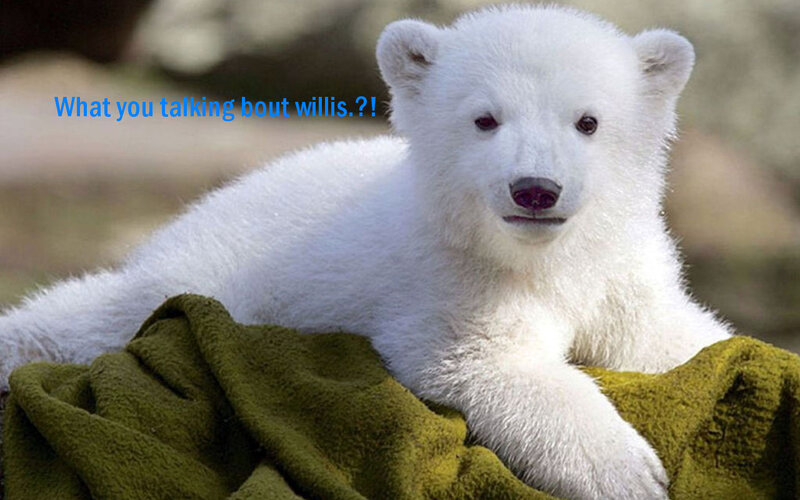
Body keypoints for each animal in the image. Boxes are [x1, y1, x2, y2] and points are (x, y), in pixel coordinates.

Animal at [0, 5, 732, 499]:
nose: (535, 189)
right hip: (205, 273)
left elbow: (673, 336)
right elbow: (489, 362)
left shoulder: (619, 269)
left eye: (588, 121)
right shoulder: (448, 278)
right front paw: (625, 471)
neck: (542, 256)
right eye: (484, 119)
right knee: (97, 313)